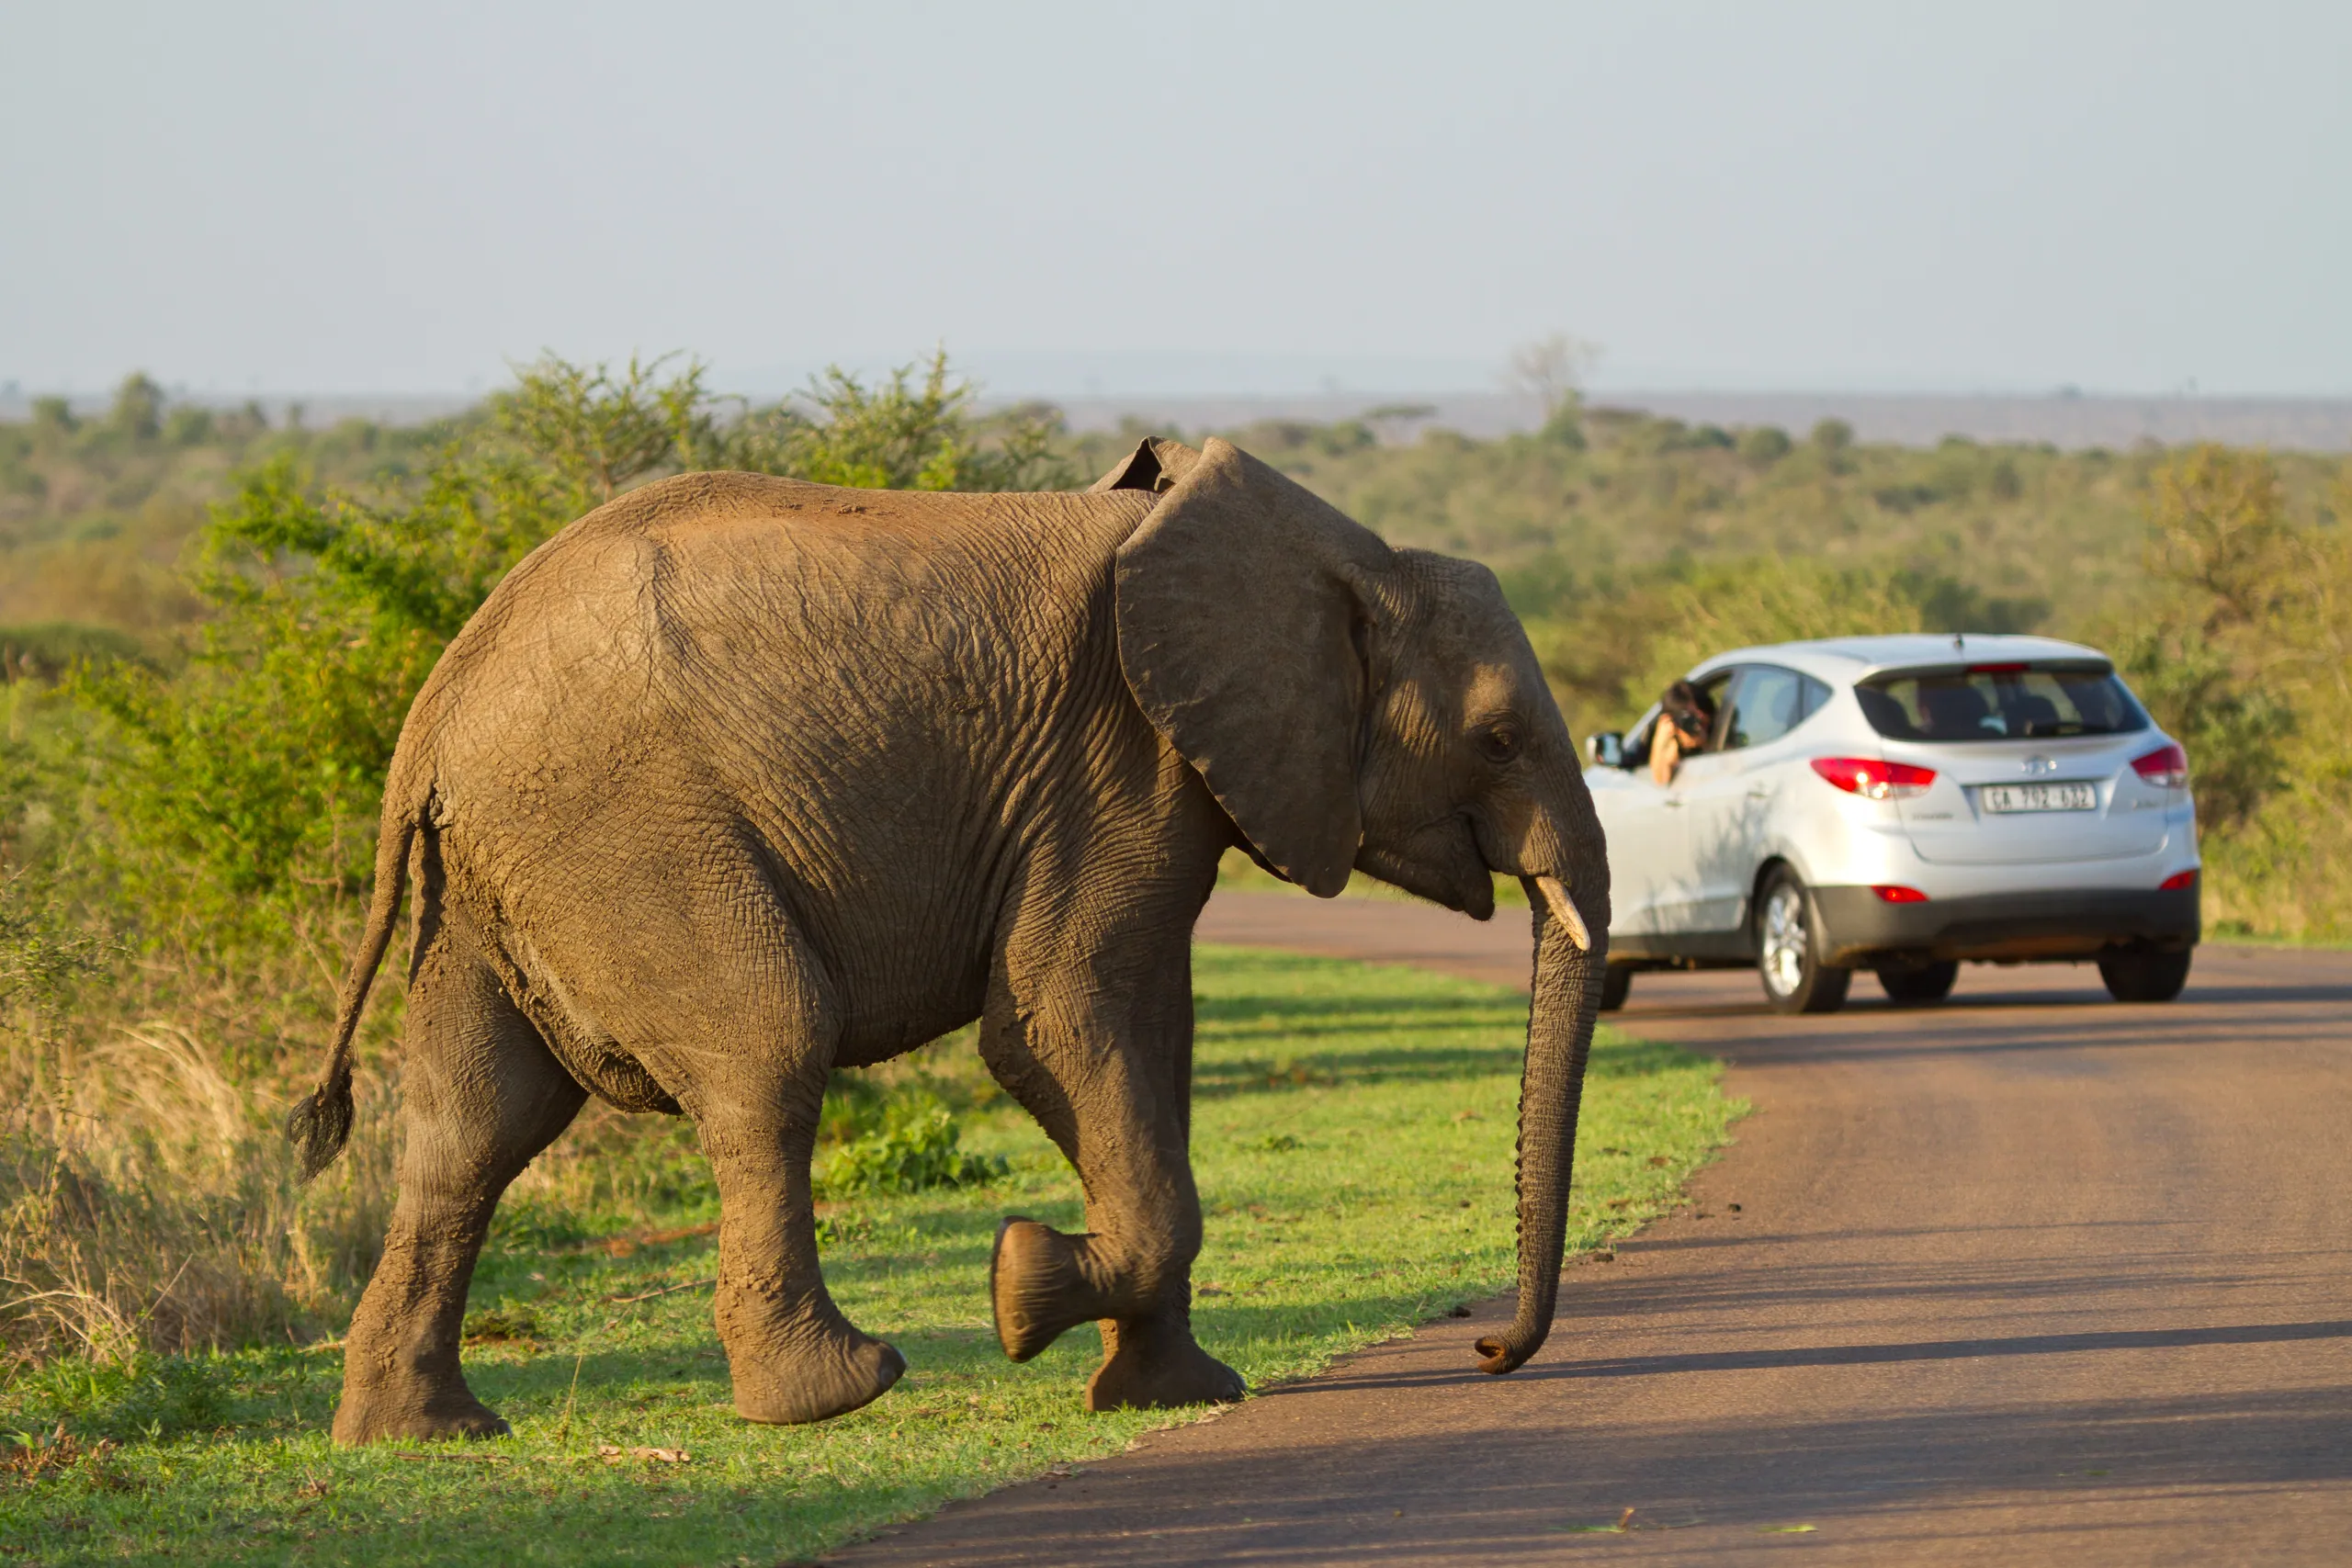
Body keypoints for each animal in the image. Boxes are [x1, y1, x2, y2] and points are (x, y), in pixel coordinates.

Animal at [288, 433, 1610, 1445]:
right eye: (1497, 737)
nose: (1488, 1347)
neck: (1340, 559)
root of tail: (430, 719)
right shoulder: (1119, 761)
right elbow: (1056, 1023)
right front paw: (1023, 1289)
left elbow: (1150, 1044)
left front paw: (1170, 1388)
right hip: (623, 836)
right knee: (767, 1050)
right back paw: (839, 1390)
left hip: (494, 882)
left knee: (473, 1126)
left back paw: (423, 1433)